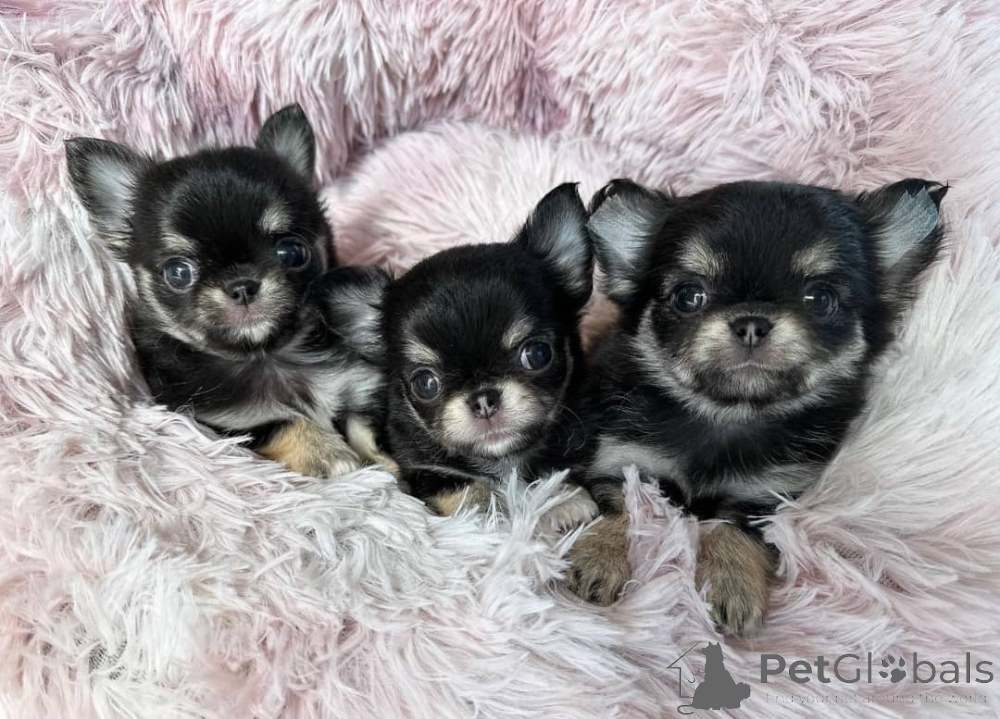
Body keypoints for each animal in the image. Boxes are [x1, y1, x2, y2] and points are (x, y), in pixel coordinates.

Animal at [65, 104, 395, 478]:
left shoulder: (360, 385)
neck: (267, 356)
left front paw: (387, 466)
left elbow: (364, 428)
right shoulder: (220, 424)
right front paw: (326, 452)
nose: (242, 286)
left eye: (292, 252)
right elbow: (283, 423)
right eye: (178, 273)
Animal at [381, 183, 598, 526]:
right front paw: (480, 514)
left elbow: (551, 469)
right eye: (425, 383)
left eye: (537, 354)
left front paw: (563, 500)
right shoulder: (427, 468)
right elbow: (464, 486)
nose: (483, 400)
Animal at [565, 177, 947, 634]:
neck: (728, 412)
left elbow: (734, 529)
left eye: (820, 298)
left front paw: (732, 587)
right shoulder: (619, 462)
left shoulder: (770, 493)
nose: (751, 322)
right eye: (688, 296)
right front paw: (597, 560)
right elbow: (620, 512)